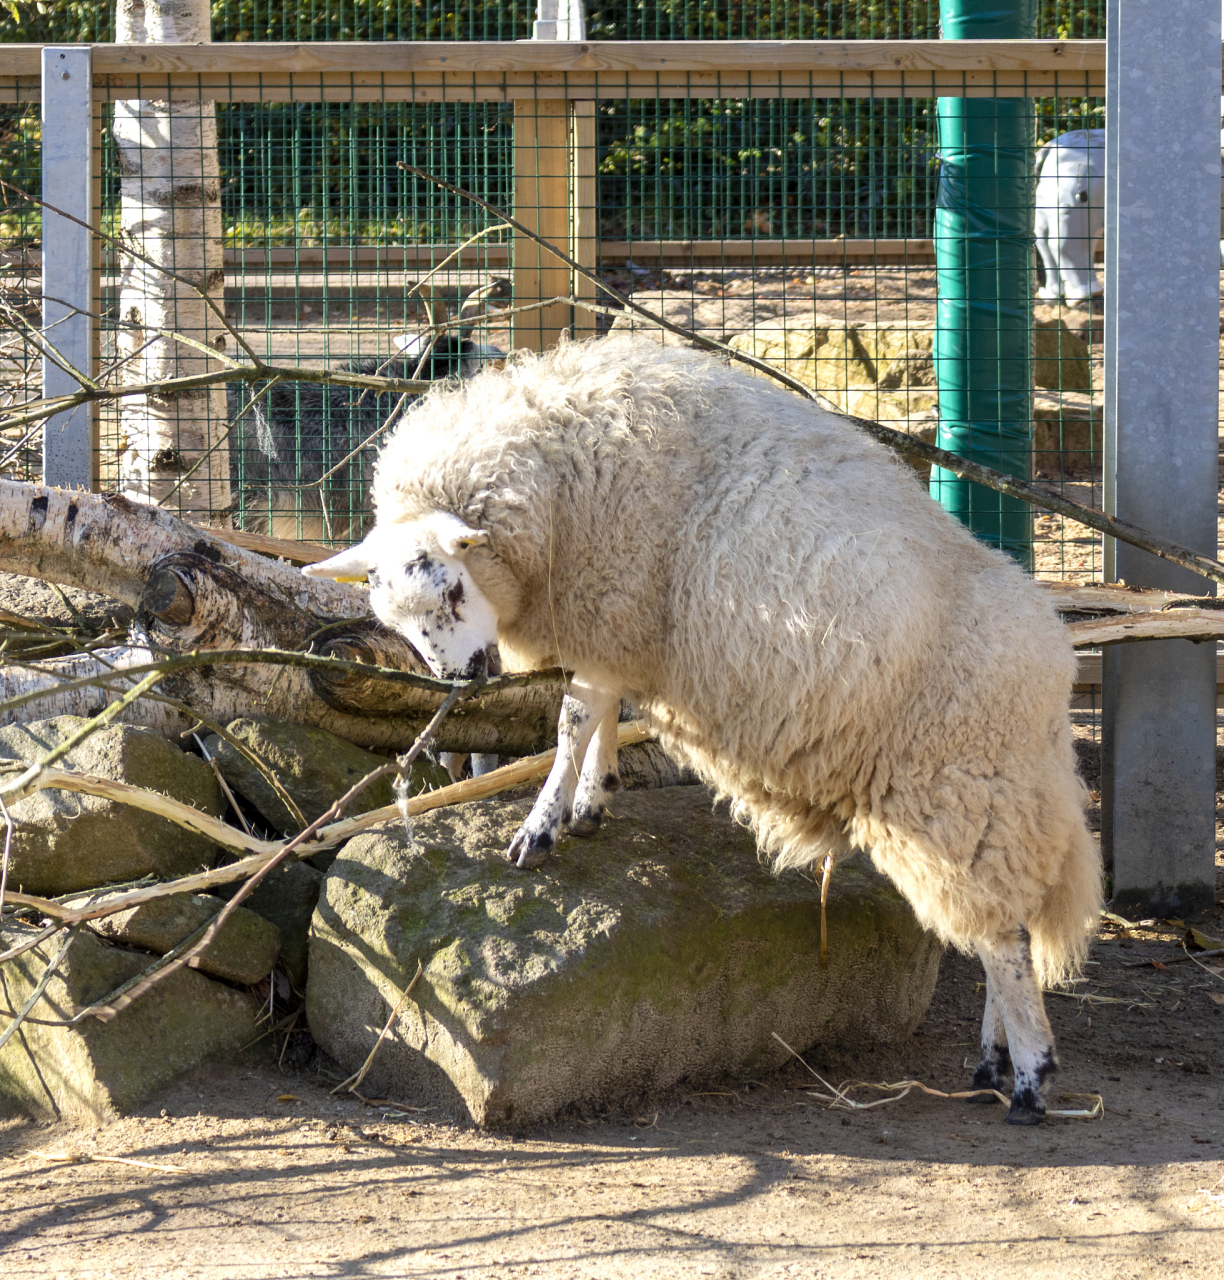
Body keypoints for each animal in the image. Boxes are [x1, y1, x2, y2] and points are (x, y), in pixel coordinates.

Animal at [303, 335, 1101, 1126]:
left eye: (451, 587)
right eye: (393, 615)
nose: (462, 679)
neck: (552, 491)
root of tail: (1056, 669)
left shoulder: (610, 605)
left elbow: (572, 719)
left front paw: (541, 827)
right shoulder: (618, 631)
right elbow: (602, 713)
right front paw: (593, 800)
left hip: (956, 797)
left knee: (1003, 938)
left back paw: (1031, 1077)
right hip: (989, 806)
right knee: (1008, 927)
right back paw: (994, 1059)